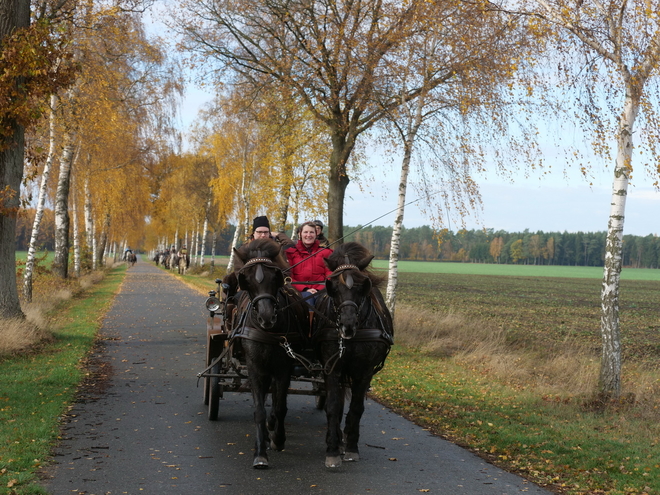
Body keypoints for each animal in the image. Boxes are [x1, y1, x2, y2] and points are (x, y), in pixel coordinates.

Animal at [229, 238, 306, 470]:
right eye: (246, 279)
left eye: (275, 277)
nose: (266, 317)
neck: (268, 332)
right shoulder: (254, 367)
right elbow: (259, 410)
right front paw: (260, 453)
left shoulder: (283, 368)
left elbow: (280, 407)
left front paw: (278, 439)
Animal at [312, 243, 394, 468]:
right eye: (333, 287)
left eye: (361, 286)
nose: (347, 326)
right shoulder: (332, 367)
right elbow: (333, 406)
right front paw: (332, 449)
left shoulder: (365, 371)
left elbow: (357, 408)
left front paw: (351, 447)